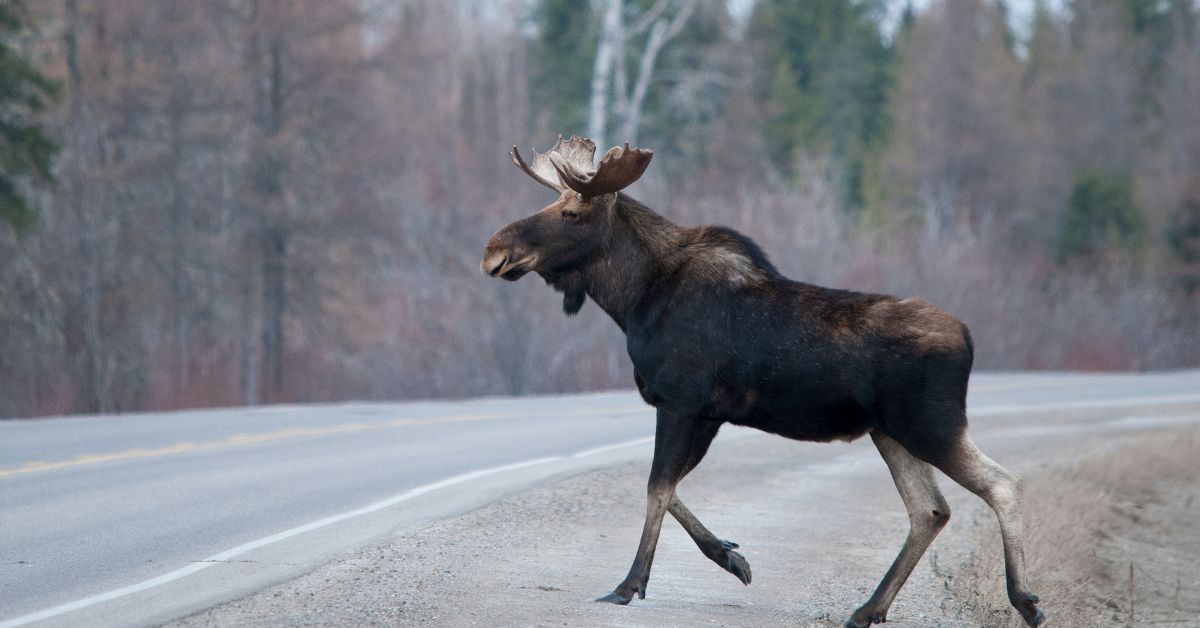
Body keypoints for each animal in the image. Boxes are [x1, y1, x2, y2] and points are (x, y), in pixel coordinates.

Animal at [482, 137, 1046, 628]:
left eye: (571, 214)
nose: (494, 250)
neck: (633, 300)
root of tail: (968, 339)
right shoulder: (706, 413)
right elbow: (668, 486)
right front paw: (731, 557)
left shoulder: (681, 400)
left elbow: (657, 486)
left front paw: (629, 584)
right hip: (889, 431)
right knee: (929, 510)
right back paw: (868, 609)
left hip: (930, 423)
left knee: (1001, 483)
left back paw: (1024, 600)